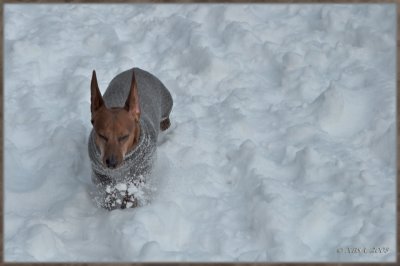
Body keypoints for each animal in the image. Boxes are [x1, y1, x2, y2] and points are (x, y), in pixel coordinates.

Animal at [88, 68, 172, 210]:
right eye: (102, 135)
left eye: (124, 136)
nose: (111, 163)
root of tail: (136, 68)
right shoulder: (100, 172)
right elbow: (108, 188)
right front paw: (110, 204)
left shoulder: (142, 169)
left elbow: (133, 187)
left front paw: (128, 205)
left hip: (167, 102)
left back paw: (165, 123)